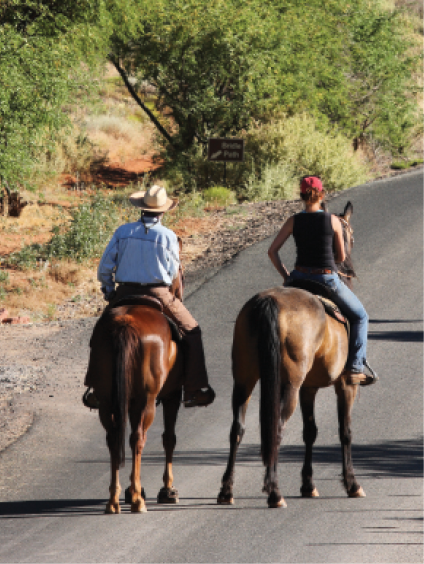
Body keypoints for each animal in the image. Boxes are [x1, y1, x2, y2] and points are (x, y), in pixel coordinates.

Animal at [86, 256, 185, 514]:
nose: (178, 293)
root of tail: (125, 324)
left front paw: (132, 489)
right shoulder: (171, 396)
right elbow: (169, 438)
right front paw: (167, 490)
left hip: (107, 399)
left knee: (114, 438)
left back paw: (114, 500)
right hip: (146, 400)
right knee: (138, 438)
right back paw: (137, 501)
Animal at [217, 201, 365, 508]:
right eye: (350, 235)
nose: (350, 268)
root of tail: (268, 302)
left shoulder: (309, 388)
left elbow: (310, 431)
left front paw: (308, 484)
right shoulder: (346, 385)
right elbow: (345, 432)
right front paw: (352, 484)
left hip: (245, 379)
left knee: (237, 428)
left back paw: (227, 490)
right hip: (289, 384)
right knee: (276, 426)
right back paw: (274, 492)